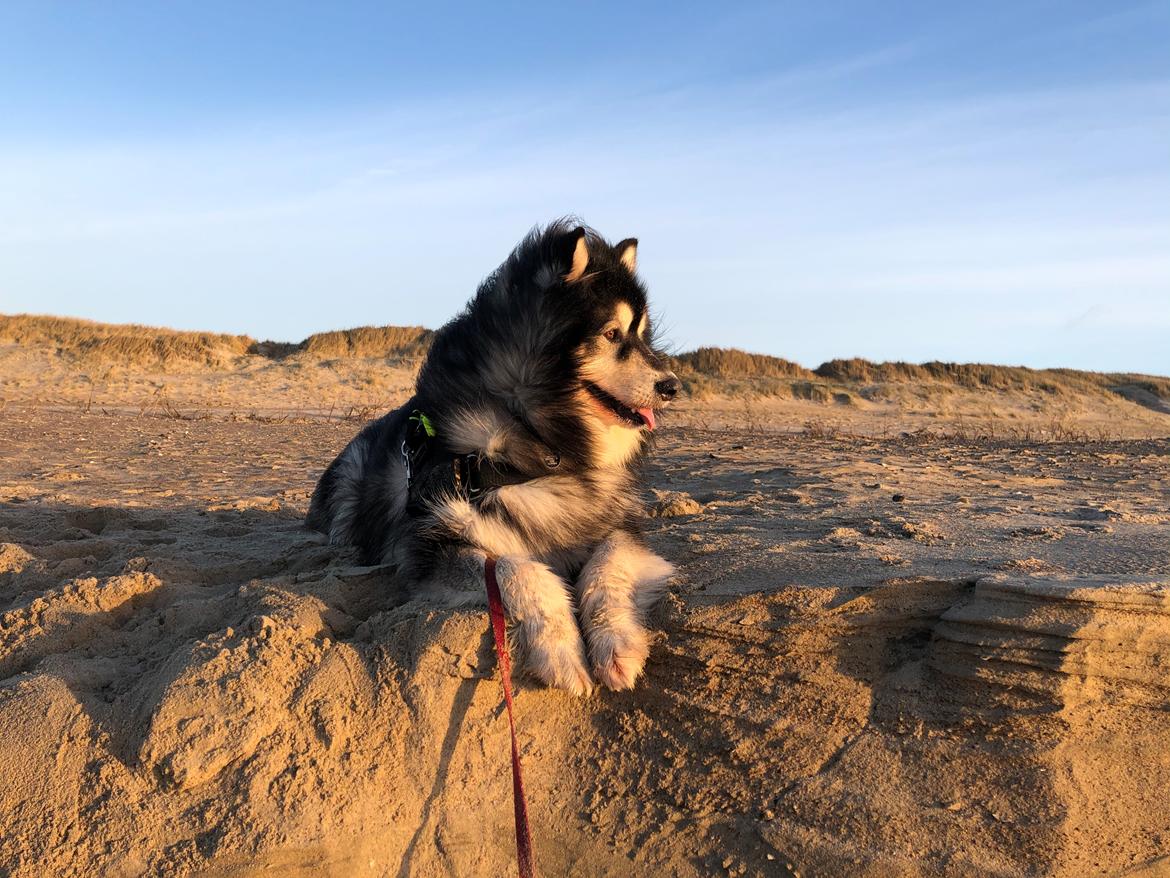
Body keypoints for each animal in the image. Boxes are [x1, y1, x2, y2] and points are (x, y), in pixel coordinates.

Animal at [306, 223, 683, 697]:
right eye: (612, 334)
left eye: (642, 336)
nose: (673, 386)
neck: (544, 448)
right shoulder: (430, 549)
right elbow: (514, 567)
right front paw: (561, 653)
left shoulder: (616, 528)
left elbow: (606, 566)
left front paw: (617, 645)